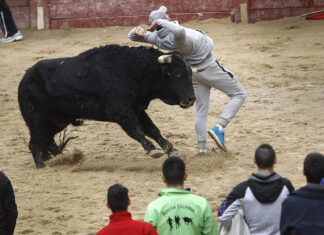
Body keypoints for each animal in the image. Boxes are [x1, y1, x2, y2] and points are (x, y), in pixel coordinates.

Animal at [18, 44, 195, 169]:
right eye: (176, 74)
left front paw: (171, 149)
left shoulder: (137, 109)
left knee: (47, 139)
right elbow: (137, 130)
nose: (191, 99)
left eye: (190, 74)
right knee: (35, 142)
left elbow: (153, 129)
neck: (133, 71)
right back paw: (41, 165)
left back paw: (61, 158)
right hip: (36, 119)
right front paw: (152, 150)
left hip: (58, 120)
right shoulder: (122, 112)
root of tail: (25, 77)